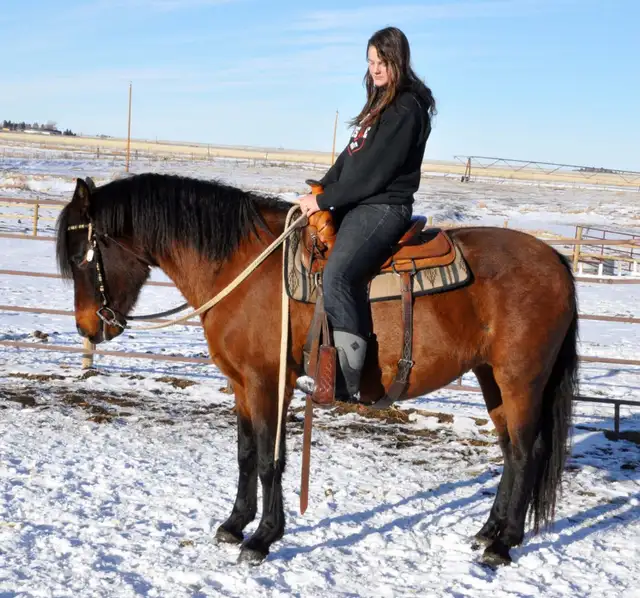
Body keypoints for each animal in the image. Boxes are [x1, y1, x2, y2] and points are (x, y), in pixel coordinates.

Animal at [55, 172, 578, 567]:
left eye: (82, 257)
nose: (87, 327)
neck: (243, 266)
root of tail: (554, 259)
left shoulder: (268, 382)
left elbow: (271, 459)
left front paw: (263, 538)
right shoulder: (240, 384)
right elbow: (246, 454)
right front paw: (233, 524)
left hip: (521, 380)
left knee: (526, 453)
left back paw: (503, 545)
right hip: (492, 379)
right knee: (510, 452)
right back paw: (488, 531)